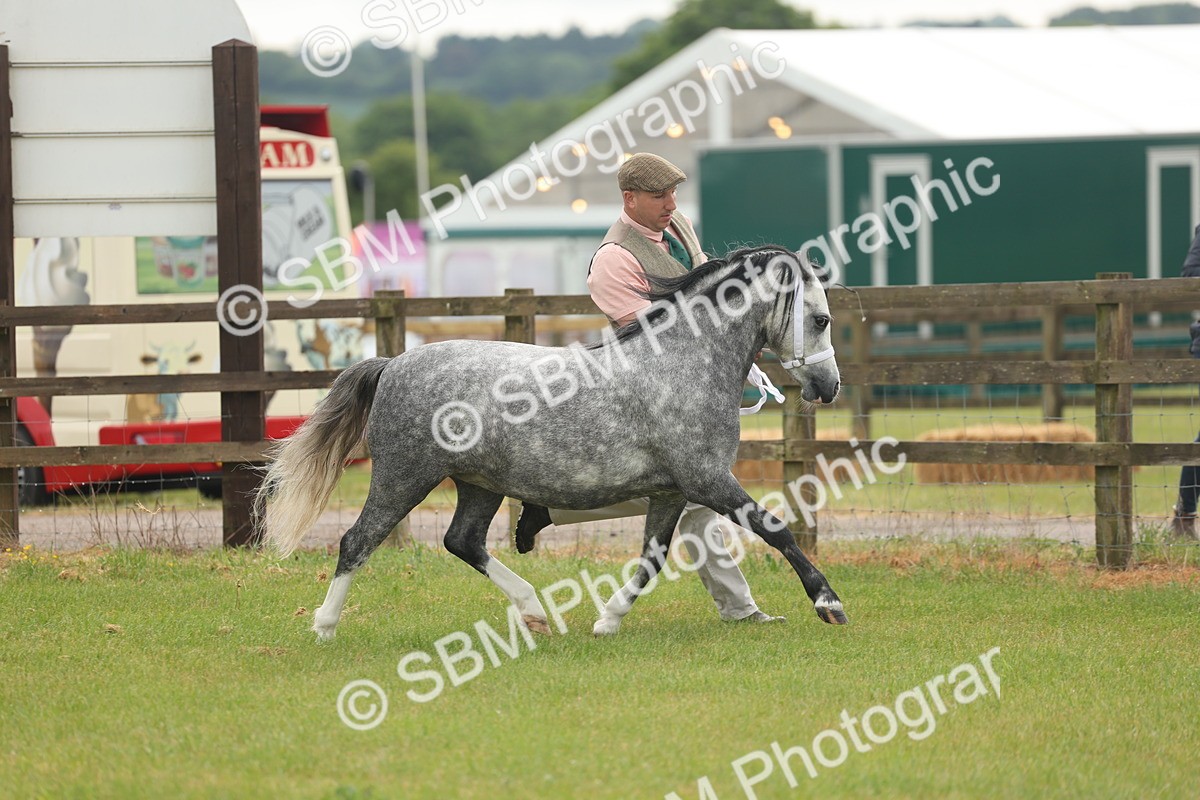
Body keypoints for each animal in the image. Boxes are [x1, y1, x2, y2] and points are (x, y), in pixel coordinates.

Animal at [256, 245, 847, 641]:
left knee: (462, 541)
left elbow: (652, 559)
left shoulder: (672, 492)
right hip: (404, 476)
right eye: (820, 318)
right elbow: (776, 528)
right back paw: (325, 626)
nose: (829, 387)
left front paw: (608, 620)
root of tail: (392, 364)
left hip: (479, 484)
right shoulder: (707, 480)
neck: (682, 364)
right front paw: (829, 603)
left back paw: (535, 609)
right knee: (356, 542)